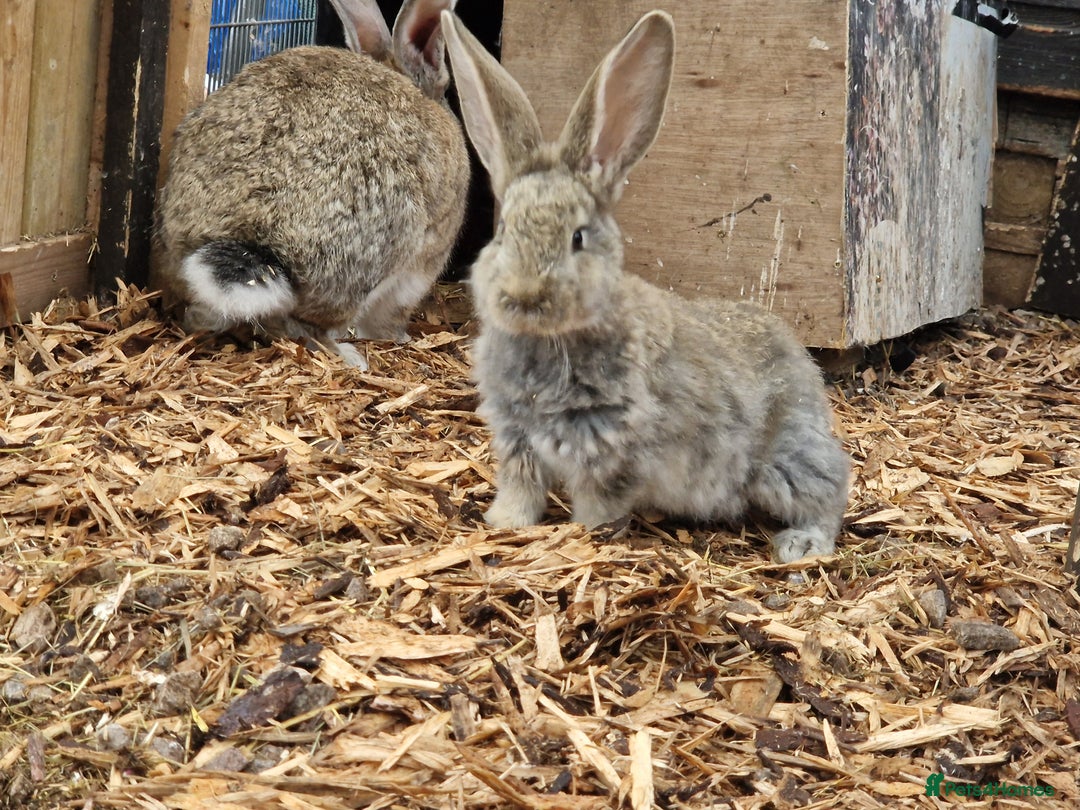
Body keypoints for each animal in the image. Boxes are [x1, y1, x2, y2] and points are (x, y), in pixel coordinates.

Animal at [156, 0, 470, 369]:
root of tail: (251, 234)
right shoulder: (421, 266)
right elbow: (390, 314)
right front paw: (397, 337)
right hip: (372, 257)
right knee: (307, 325)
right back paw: (350, 356)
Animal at [441, 10, 850, 563]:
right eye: (503, 230)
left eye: (578, 238)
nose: (524, 296)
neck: (552, 341)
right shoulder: (516, 439)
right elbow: (520, 487)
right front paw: (504, 524)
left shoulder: (613, 449)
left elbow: (599, 501)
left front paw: (585, 535)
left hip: (784, 459)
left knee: (830, 486)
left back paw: (802, 543)